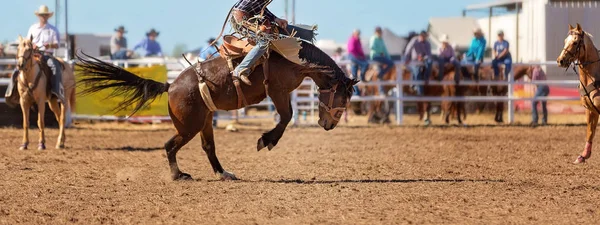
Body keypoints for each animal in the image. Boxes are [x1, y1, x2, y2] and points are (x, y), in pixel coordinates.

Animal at [75, 40, 356, 181]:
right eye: (343, 95)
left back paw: (224, 173)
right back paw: (178, 175)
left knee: (208, 147)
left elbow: (286, 116)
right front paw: (266, 141)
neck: (294, 59)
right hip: (189, 126)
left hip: (205, 121)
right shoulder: (276, 90)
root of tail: (171, 86)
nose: (330, 125)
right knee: (169, 145)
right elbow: (286, 116)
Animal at [556, 23, 600, 163]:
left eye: (575, 42)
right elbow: (590, 132)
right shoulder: (590, 110)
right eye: (565, 41)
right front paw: (583, 156)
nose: (560, 60)